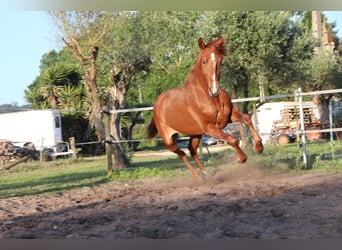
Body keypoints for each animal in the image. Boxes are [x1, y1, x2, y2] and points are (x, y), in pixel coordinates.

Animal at [146, 36, 262, 180]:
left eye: (220, 60)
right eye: (204, 61)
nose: (214, 90)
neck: (209, 98)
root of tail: (157, 105)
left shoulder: (229, 117)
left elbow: (246, 118)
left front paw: (259, 147)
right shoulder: (209, 128)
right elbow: (232, 139)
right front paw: (241, 159)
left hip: (196, 134)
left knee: (191, 150)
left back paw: (207, 175)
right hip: (170, 141)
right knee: (181, 154)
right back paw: (199, 178)